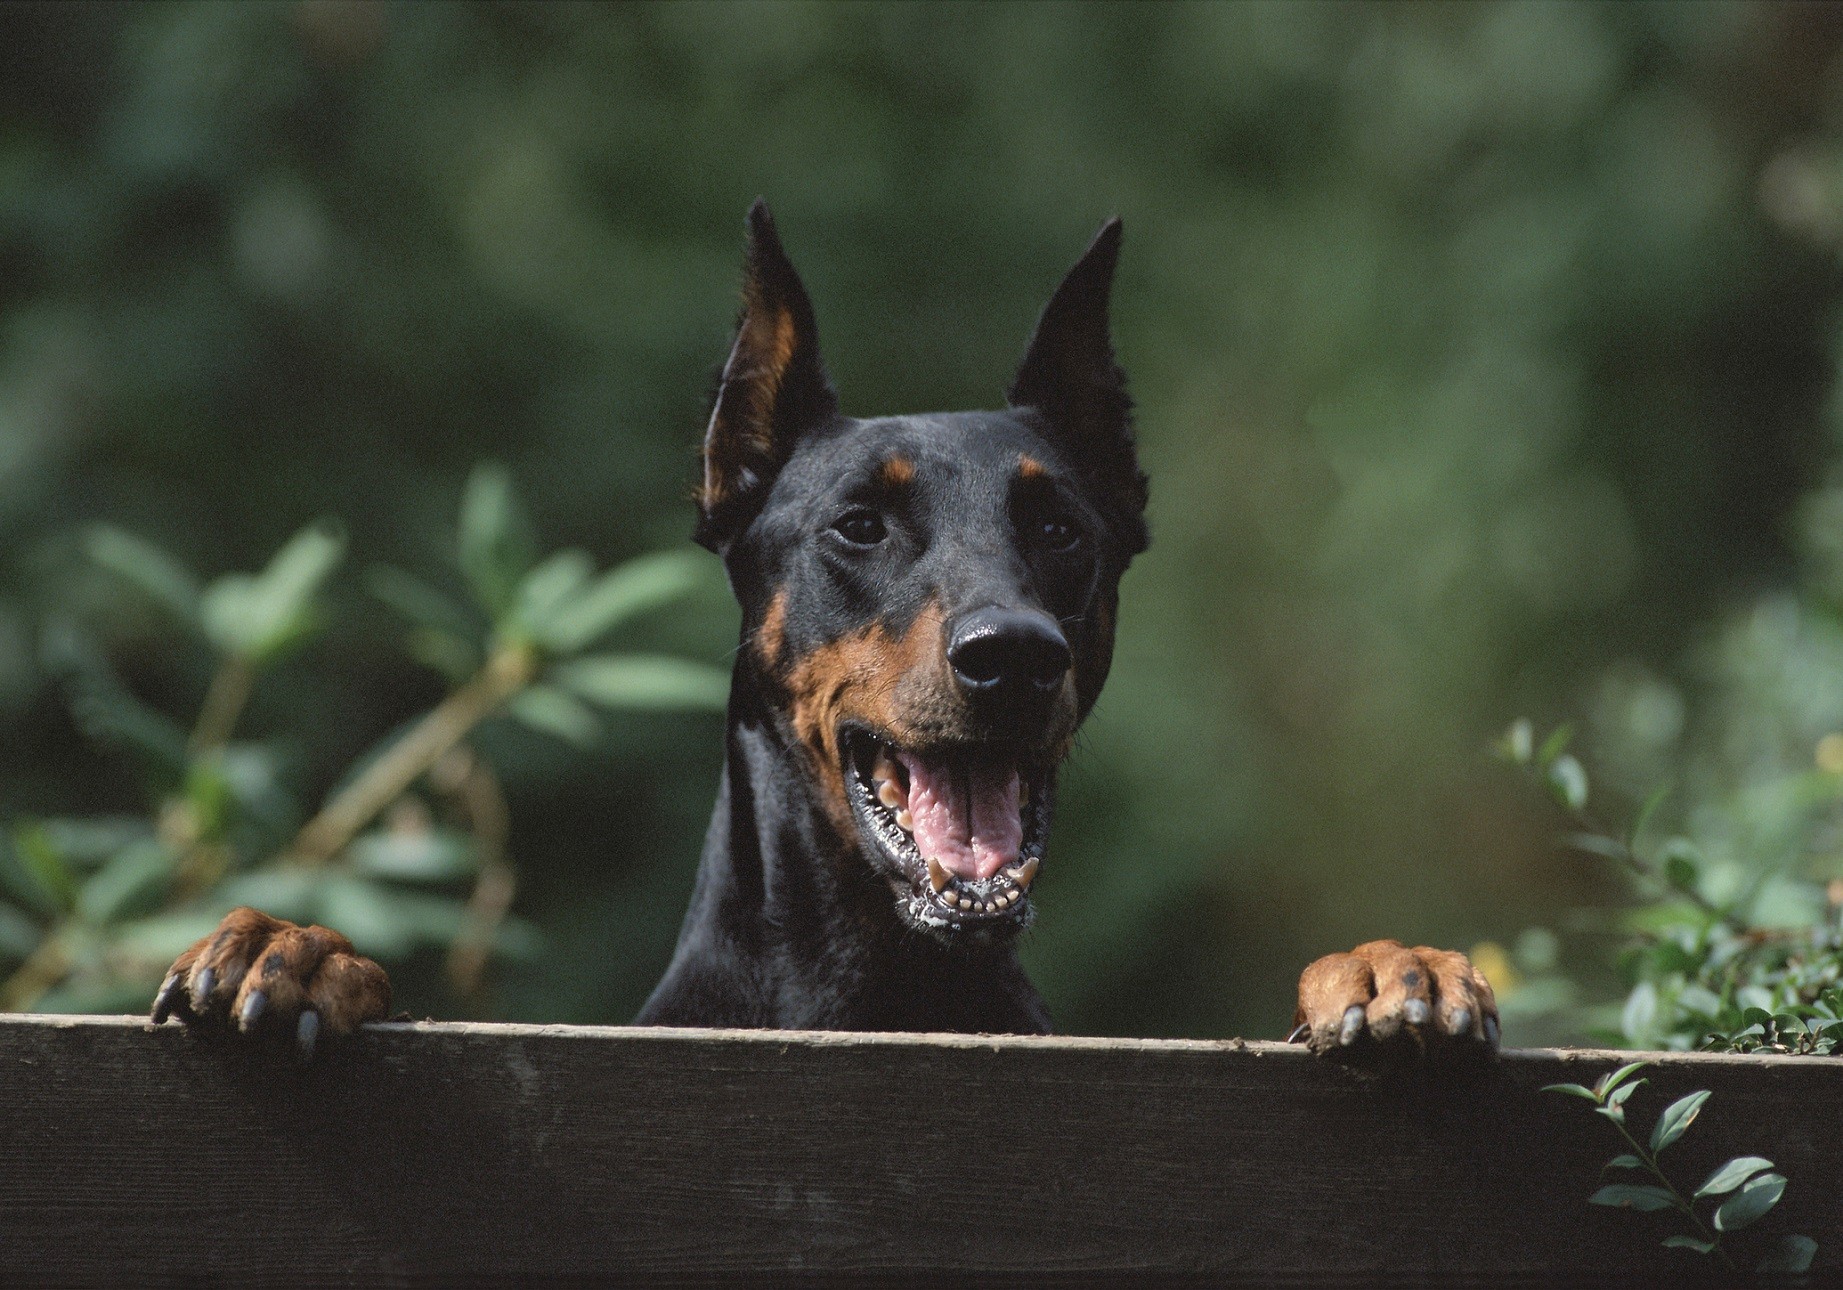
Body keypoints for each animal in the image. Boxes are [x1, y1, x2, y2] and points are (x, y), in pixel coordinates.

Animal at [143, 203, 1496, 1061]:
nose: (1014, 657)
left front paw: (1389, 969)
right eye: (857, 524)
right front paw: (298, 951)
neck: (877, 994)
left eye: (1061, 528)